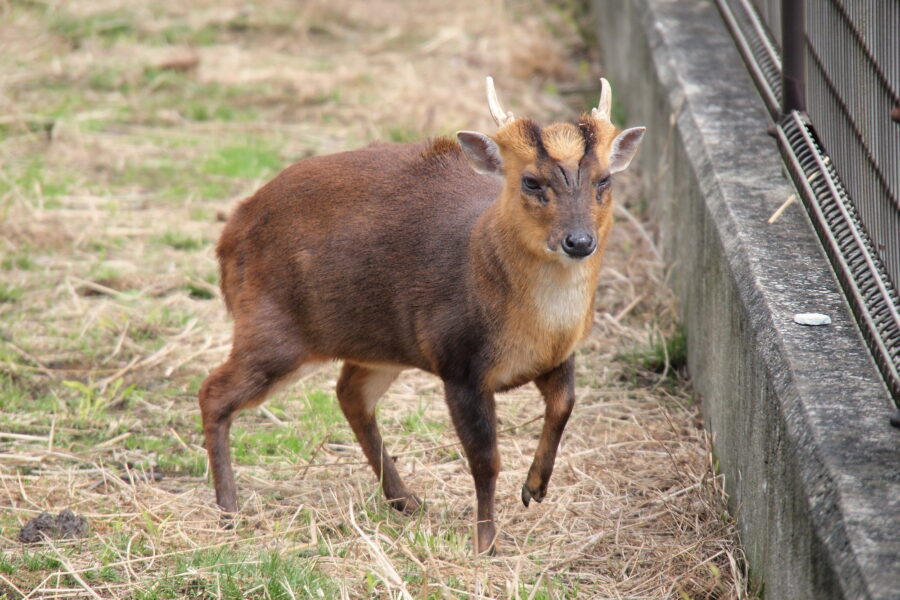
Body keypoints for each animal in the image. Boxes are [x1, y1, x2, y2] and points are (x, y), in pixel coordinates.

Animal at [200, 77, 644, 556]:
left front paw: (535, 487)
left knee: (349, 395)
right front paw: (485, 542)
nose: (579, 241)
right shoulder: (459, 363)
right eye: (530, 181)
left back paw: (405, 499)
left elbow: (564, 405)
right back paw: (229, 510)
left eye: (604, 179)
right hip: (272, 327)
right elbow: (485, 460)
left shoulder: (559, 355)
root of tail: (230, 233)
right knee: (213, 392)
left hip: (378, 344)